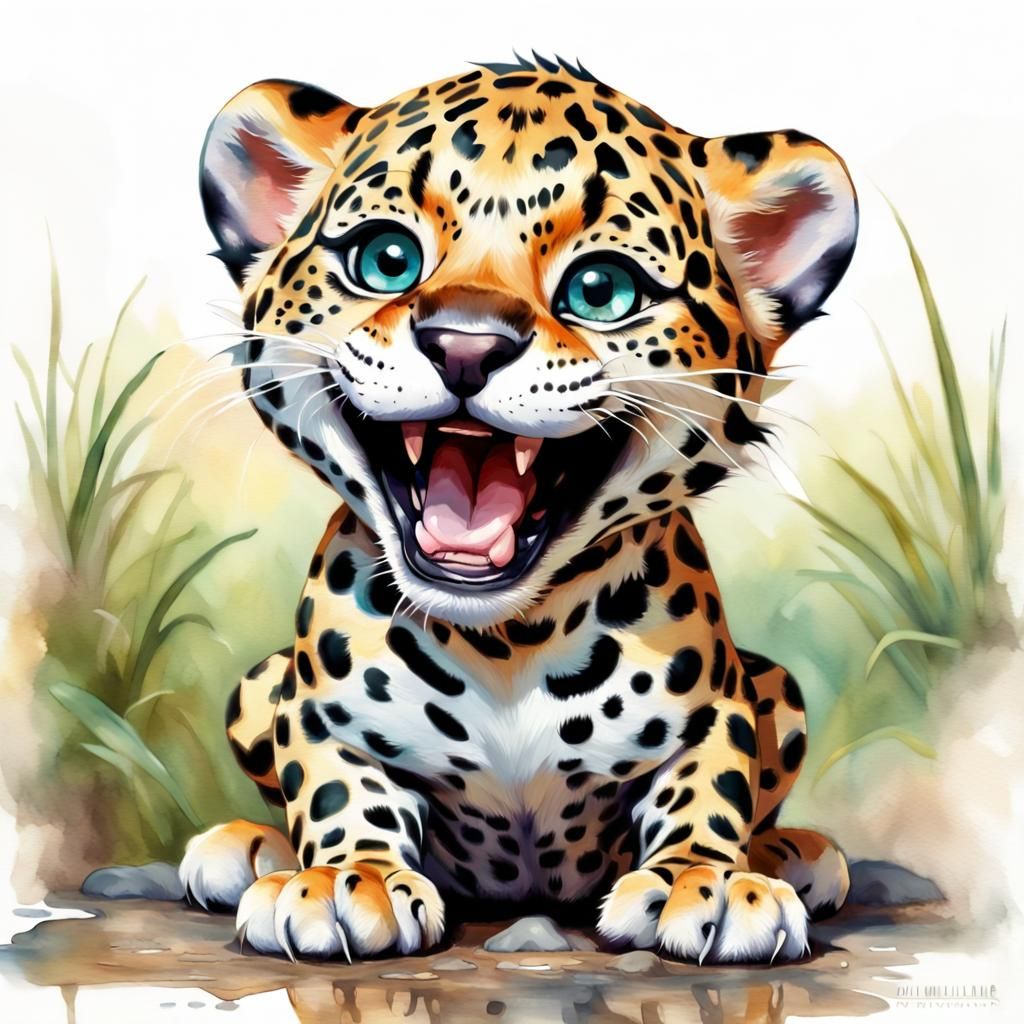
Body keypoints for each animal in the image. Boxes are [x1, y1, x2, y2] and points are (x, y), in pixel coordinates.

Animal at [178, 54, 858, 966]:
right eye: (385, 260)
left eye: (601, 289)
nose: (466, 343)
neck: (506, 638)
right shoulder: (317, 711)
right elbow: (334, 784)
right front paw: (342, 878)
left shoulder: (717, 707)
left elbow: (709, 781)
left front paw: (704, 882)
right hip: (258, 683)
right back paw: (247, 850)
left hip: (774, 682)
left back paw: (794, 853)